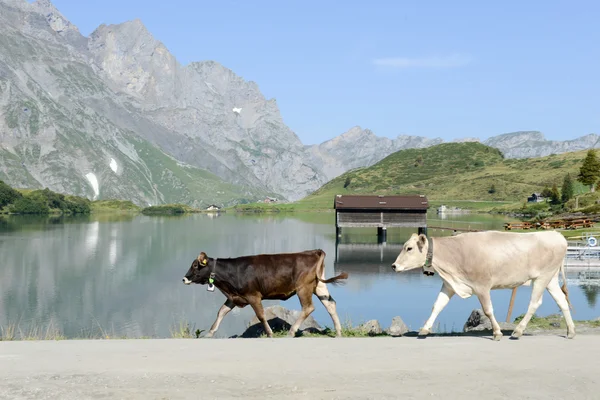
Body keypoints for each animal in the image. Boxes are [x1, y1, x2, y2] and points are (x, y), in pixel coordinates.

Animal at [180, 250, 346, 338]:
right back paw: (338, 332)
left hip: (303, 288)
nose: (184, 278)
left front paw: (270, 333)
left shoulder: (253, 295)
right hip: (319, 286)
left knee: (308, 307)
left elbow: (260, 315)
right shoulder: (234, 297)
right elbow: (221, 312)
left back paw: (291, 332)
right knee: (330, 304)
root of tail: (312, 252)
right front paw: (210, 333)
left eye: (195, 265)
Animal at [392, 231, 576, 340]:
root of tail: (556, 234)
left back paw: (517, 331)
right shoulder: (450, 285)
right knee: (561, 300)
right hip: (551, 279)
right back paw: (571, 331)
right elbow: (437, 306)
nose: (394, 266)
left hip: (542, 277)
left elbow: (488, 310)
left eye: (409, 248)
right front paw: (425, 329)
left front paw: (497, 333)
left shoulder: (482, 286)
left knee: (534, 303)